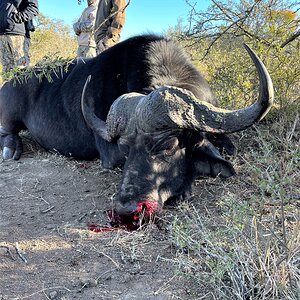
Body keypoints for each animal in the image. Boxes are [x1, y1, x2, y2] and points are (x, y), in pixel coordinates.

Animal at [0, 34, 274, 216]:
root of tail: (12, 81)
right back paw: (10, 150)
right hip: (10, 117)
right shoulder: (110, 155)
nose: (126, 208)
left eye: (169, 145)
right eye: (125, 147)